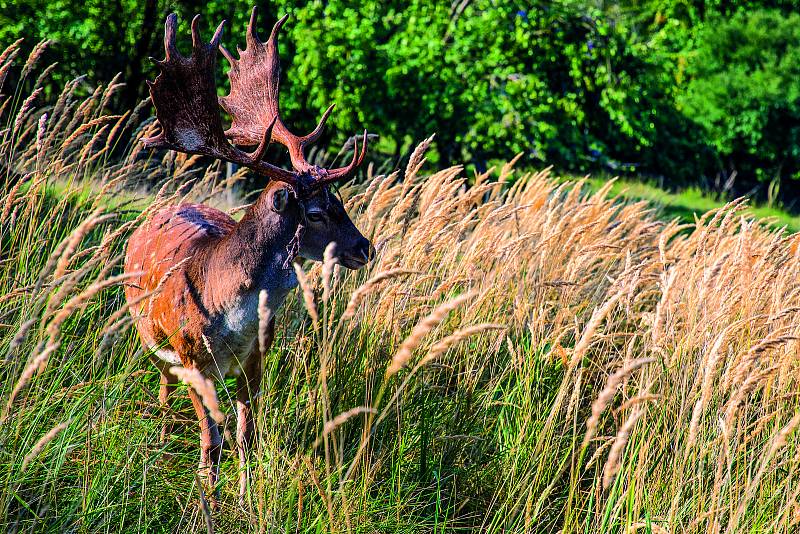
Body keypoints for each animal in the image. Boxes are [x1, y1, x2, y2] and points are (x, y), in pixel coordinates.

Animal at [124, 6, 376, 504]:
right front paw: (208, 499)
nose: (365, 248)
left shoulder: (258, 357)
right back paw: (159, 440)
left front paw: (245, 500)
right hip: (150, 335)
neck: (232, 317)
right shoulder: (195, 359)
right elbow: (211, 439)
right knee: (163, 385)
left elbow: (246, 436)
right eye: (316, 212)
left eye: (341, 201)